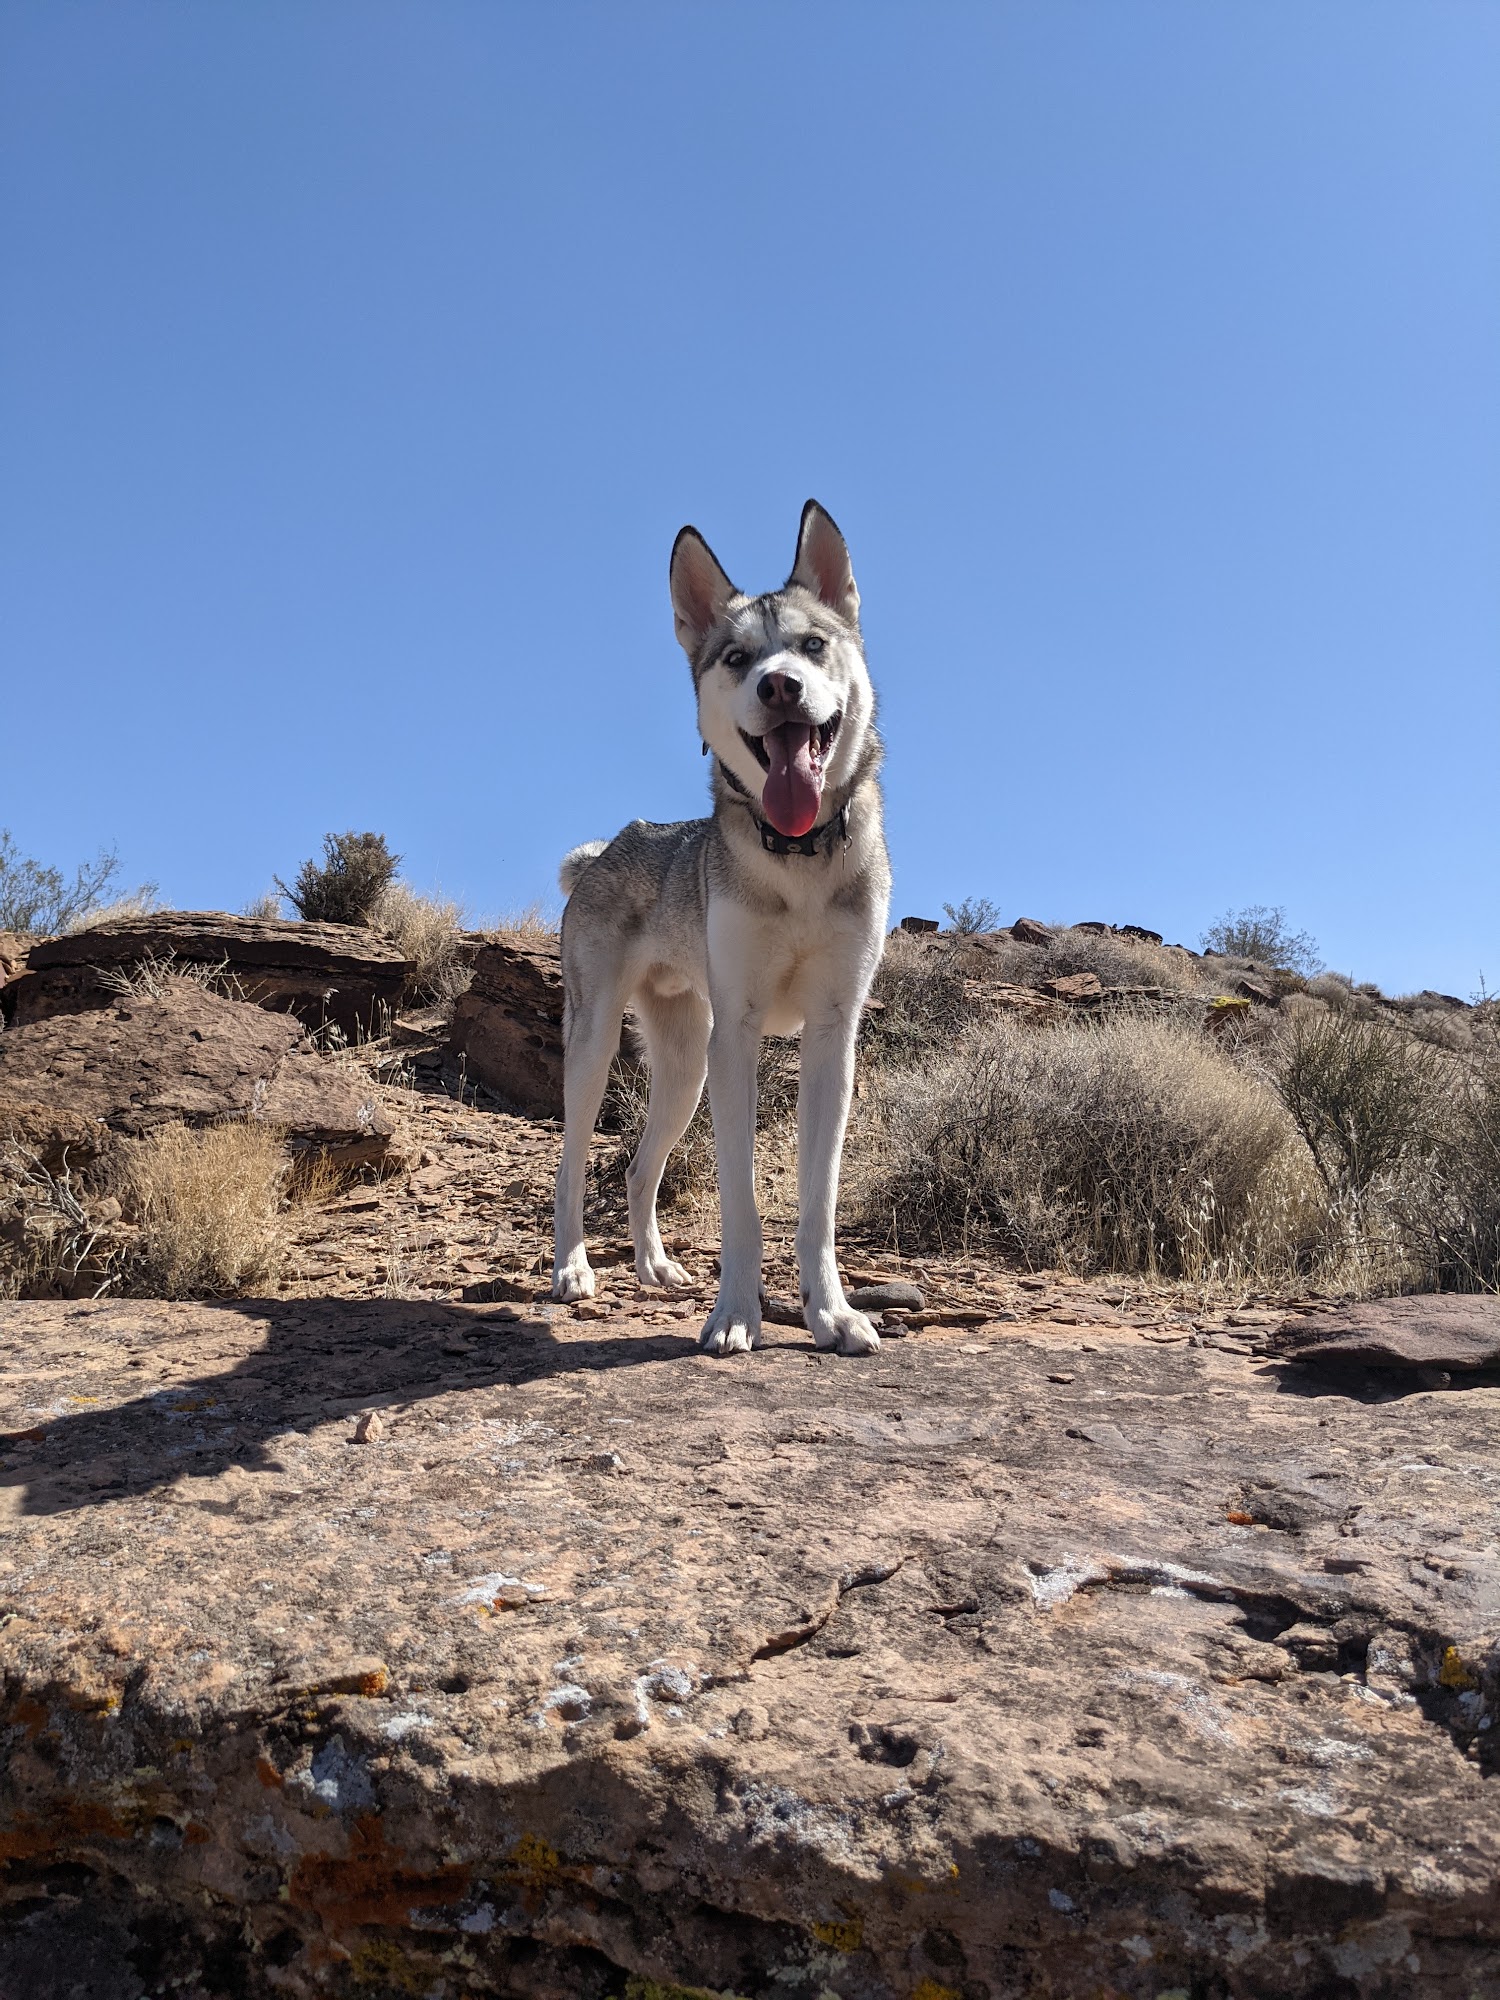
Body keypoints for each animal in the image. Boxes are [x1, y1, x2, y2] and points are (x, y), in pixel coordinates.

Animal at [551, 500, 891, 1356]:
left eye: (813, 645)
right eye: (737, 657)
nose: (780, 684)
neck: (797, 861)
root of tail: (607, 849)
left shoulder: (832, 1035)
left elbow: (817, 1203)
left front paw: (832, 1314)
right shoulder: (736, 1036)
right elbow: (741, 1201)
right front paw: (737, 1312)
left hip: (682, 1064)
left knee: (639, 1168)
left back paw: (653, 1266)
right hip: (597, 1046)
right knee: (572, 1163)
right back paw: (572, 1269)